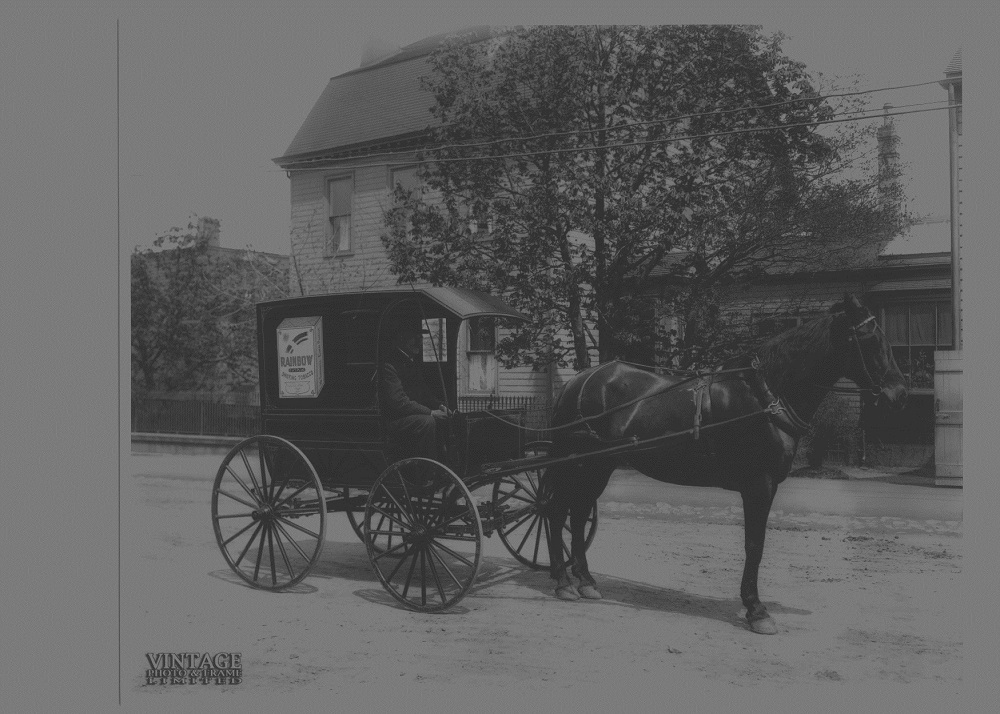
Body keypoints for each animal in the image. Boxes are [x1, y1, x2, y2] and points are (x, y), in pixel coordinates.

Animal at [544, 292, 912, 632]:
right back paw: (563, 582)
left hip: (596, 466)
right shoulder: (759, 485)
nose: (899, 393)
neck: (766, 395)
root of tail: (576, 382)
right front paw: (756, 610)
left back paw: (585, 581)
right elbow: (754, 545)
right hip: (576, 464)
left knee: (577, 514)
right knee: (557, 511)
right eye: (870, 340)